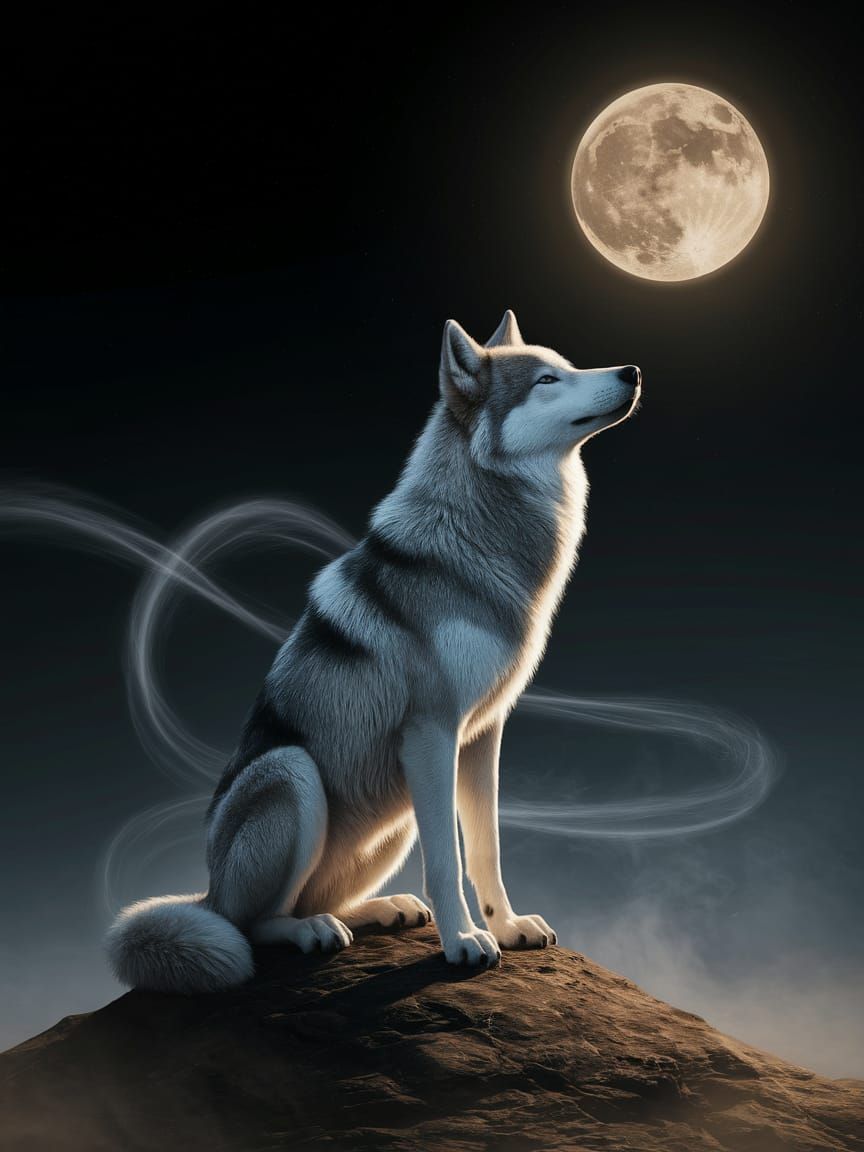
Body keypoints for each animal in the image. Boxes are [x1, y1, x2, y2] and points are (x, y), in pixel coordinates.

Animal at [106, 311, 641, 992]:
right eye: (547, 379)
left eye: (569, 365)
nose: (632, 371)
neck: (474, 540)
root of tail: (208, 891)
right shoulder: (432, 734)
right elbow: (447, 860)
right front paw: (464, 943)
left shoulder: (482, 734)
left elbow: (486, 848)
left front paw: (507, 927)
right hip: (295, 773)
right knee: (256, 923)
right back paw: (310, 931)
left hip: (395, 817)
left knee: (317, 898)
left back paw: (383, 910)